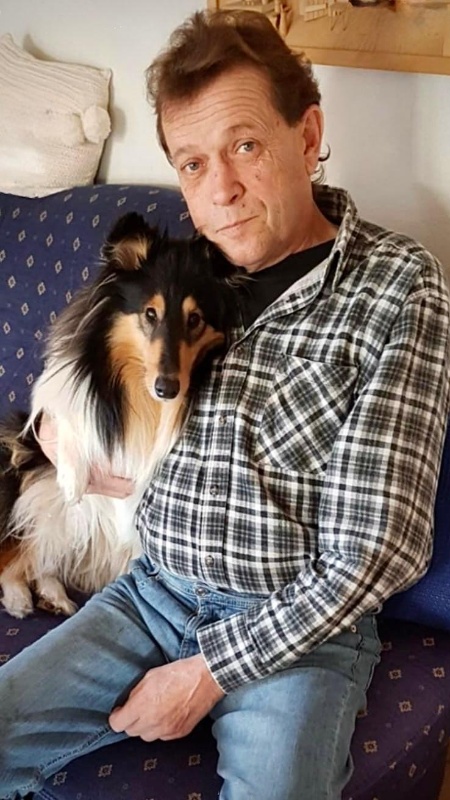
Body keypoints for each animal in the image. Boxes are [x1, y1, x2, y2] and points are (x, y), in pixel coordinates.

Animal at [0, 212, 241, 618]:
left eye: (195, 320)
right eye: (150, 314)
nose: (167, 388)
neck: (142, 397)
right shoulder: (56, 406)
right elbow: (69, 420)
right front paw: (73, 477)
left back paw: (53, 596)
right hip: (34, 485)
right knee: (20, 548)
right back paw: (19, 598)